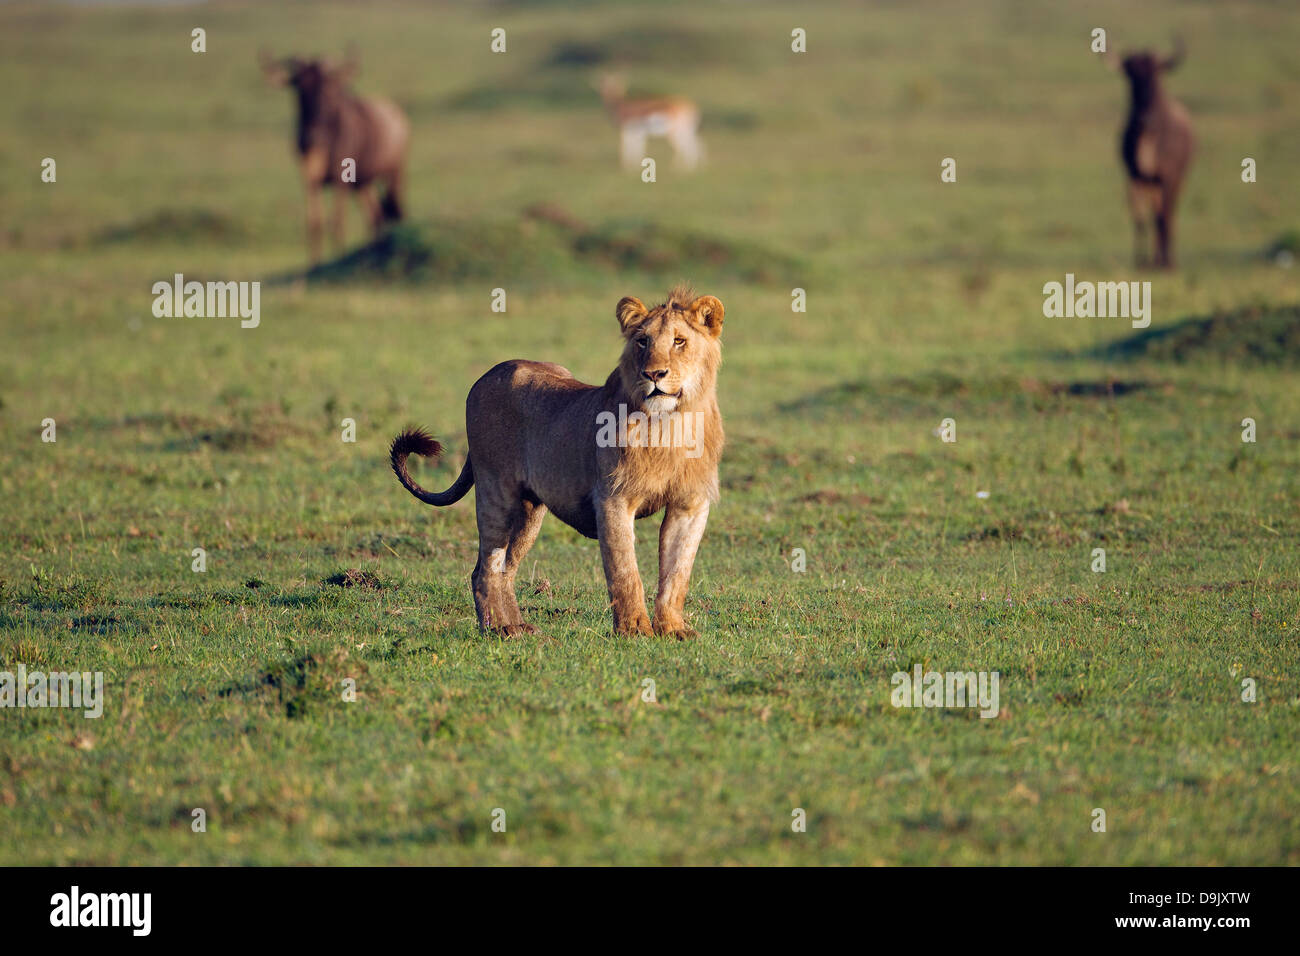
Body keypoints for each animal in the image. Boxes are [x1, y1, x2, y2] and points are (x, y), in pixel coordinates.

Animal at [389, 285, 725, 637]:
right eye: (642, 341)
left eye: (679, 341)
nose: (653, 374)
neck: (671, 424)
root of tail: (486, 375)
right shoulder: (613, 498)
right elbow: (625, 571)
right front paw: (634, 630)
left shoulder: (690, 503)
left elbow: (677, 573)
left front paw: (673, 629)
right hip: (496, 491)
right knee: (487, 567)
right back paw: (499, 630)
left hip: (528, 511)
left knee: (502, 567)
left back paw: (517, 625)